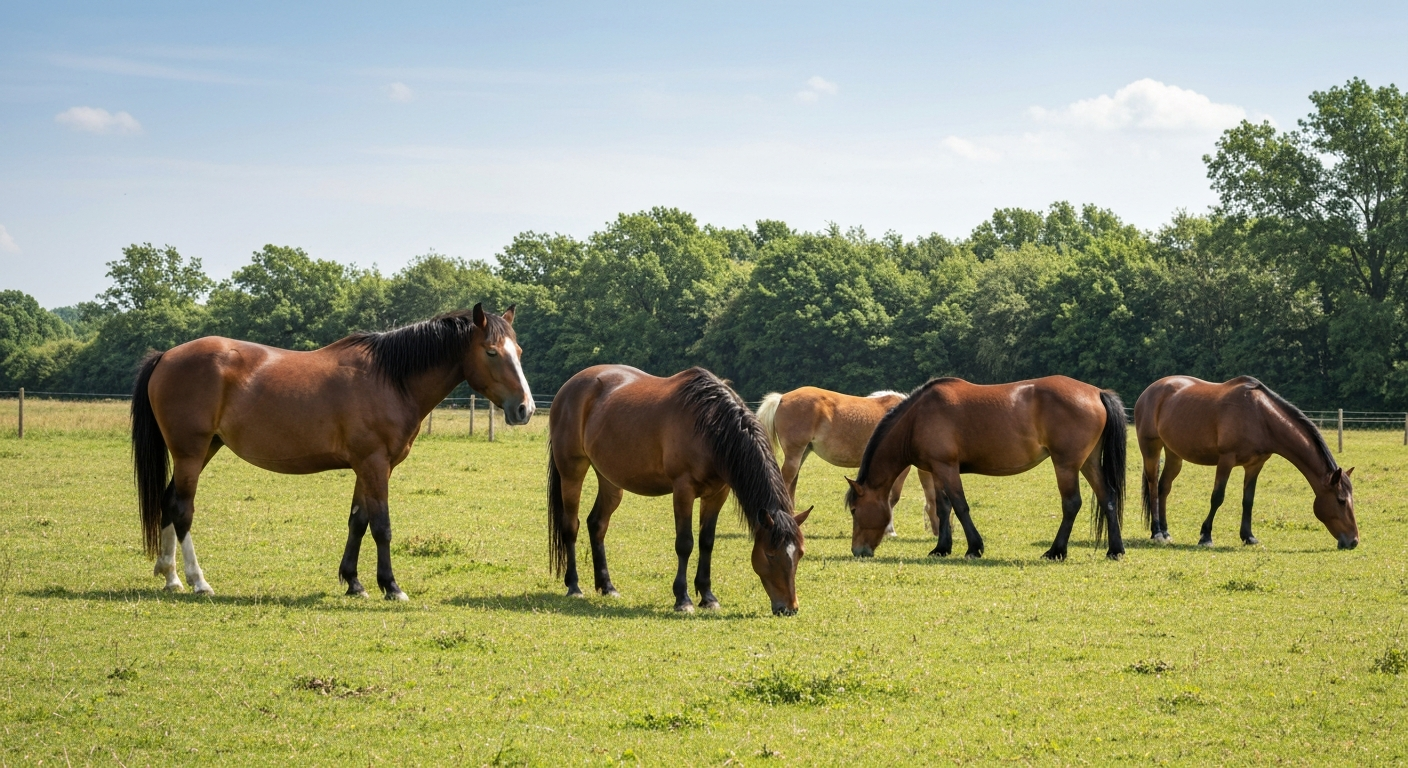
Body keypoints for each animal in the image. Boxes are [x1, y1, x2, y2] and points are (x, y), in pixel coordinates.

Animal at [130, 304, 533, 600]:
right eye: (492, 352)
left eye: (519, 352)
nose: (524, 409)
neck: (390, 379)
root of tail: (166, 355)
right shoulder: (374, 464)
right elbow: (382, 526)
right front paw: (391, 586)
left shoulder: (369, 467)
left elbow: (358, 521)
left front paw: (354, 582)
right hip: (191, 452)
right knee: (182, 510)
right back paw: (198, 581)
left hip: (203, 450)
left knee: (168, 501)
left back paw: (169, 576)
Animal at [547, 365, 809, 615]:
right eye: (771, 554)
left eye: (800, 554)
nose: (789, 608)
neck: (710, 425)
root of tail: (568, 388)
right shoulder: (683, 490)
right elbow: (685, 543)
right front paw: (683, 599)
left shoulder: (718, 493)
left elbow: (706, 542)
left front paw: (708, 597)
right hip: (572, 472)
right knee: (571, 526)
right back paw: (574, 586)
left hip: (610, 479)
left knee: (597, 525)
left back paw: (607, 586)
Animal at [757, 387, 940, 537]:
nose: (939, 532)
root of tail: (781, 398)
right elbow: (892, 498)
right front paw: (890, 530)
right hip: (795, 454)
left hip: (802, 454)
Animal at [844, 376, 1127, 561]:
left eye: (855, 510)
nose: (858, 551)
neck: (917, 418)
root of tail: (1096, 392)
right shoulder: (937, 469)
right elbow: (943, 507)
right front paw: (941, 548)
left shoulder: (947, 467)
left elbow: (960, 505)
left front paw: (974, 548)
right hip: (1089, 462)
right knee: (1107, 497)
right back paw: (1115, 550)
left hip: (1066, 464)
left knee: (1071, 504)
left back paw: (1056, 551)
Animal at [1133, 376, 1358, 549]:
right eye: (1341, 500)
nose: (1353, 540)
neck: (1259, 416)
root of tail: (1149, 391)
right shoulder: (1226, 460)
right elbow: (1217, 497)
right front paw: (1206, 536)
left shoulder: (1254, 465)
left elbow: (1248, 500)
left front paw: (1248, 536)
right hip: (1151, 448)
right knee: (1153, 487)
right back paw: (1157, 532)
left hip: (1174, 454)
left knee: (1164, 488)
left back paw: (1165, 531)